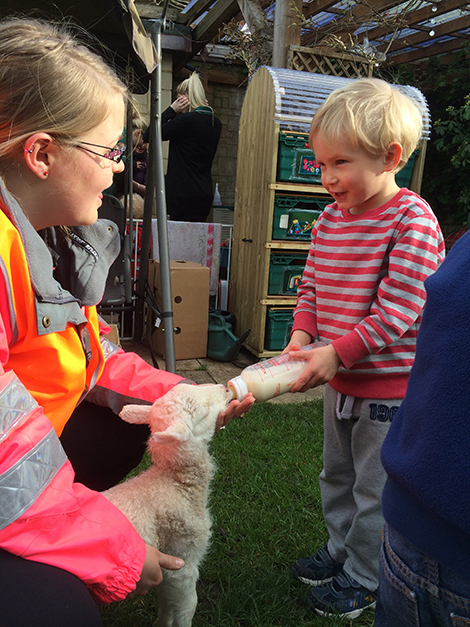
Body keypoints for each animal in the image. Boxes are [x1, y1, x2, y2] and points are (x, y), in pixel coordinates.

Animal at [104, 382, 233, 627]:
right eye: (204, 411)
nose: (226, 388)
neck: (174, 482)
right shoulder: (182, 553)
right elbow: (187, 605)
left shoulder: (167, 561)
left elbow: (166, 598)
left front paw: (162, 622)